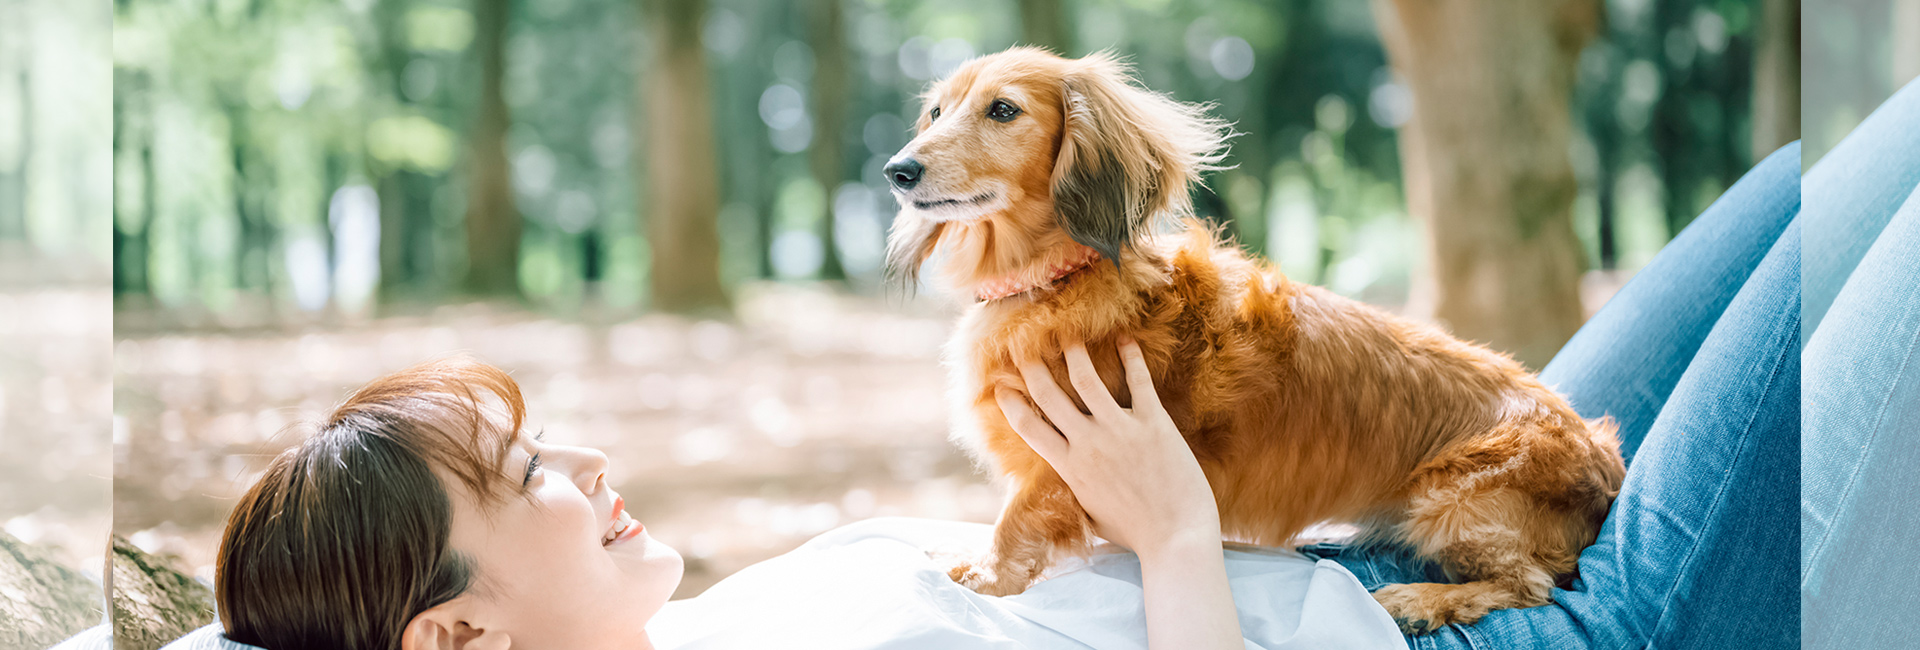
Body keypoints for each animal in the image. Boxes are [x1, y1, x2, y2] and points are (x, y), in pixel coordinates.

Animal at [879, 47, 1620, 636]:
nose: (897, 170)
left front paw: (982, 579)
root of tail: (1601, 454)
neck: (1056, 278)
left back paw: (1421, 599)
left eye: (1003, 110)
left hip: (1455, 505)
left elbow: (1017, 519)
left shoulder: (1062, 460)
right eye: (937, 111)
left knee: (1530, 586)